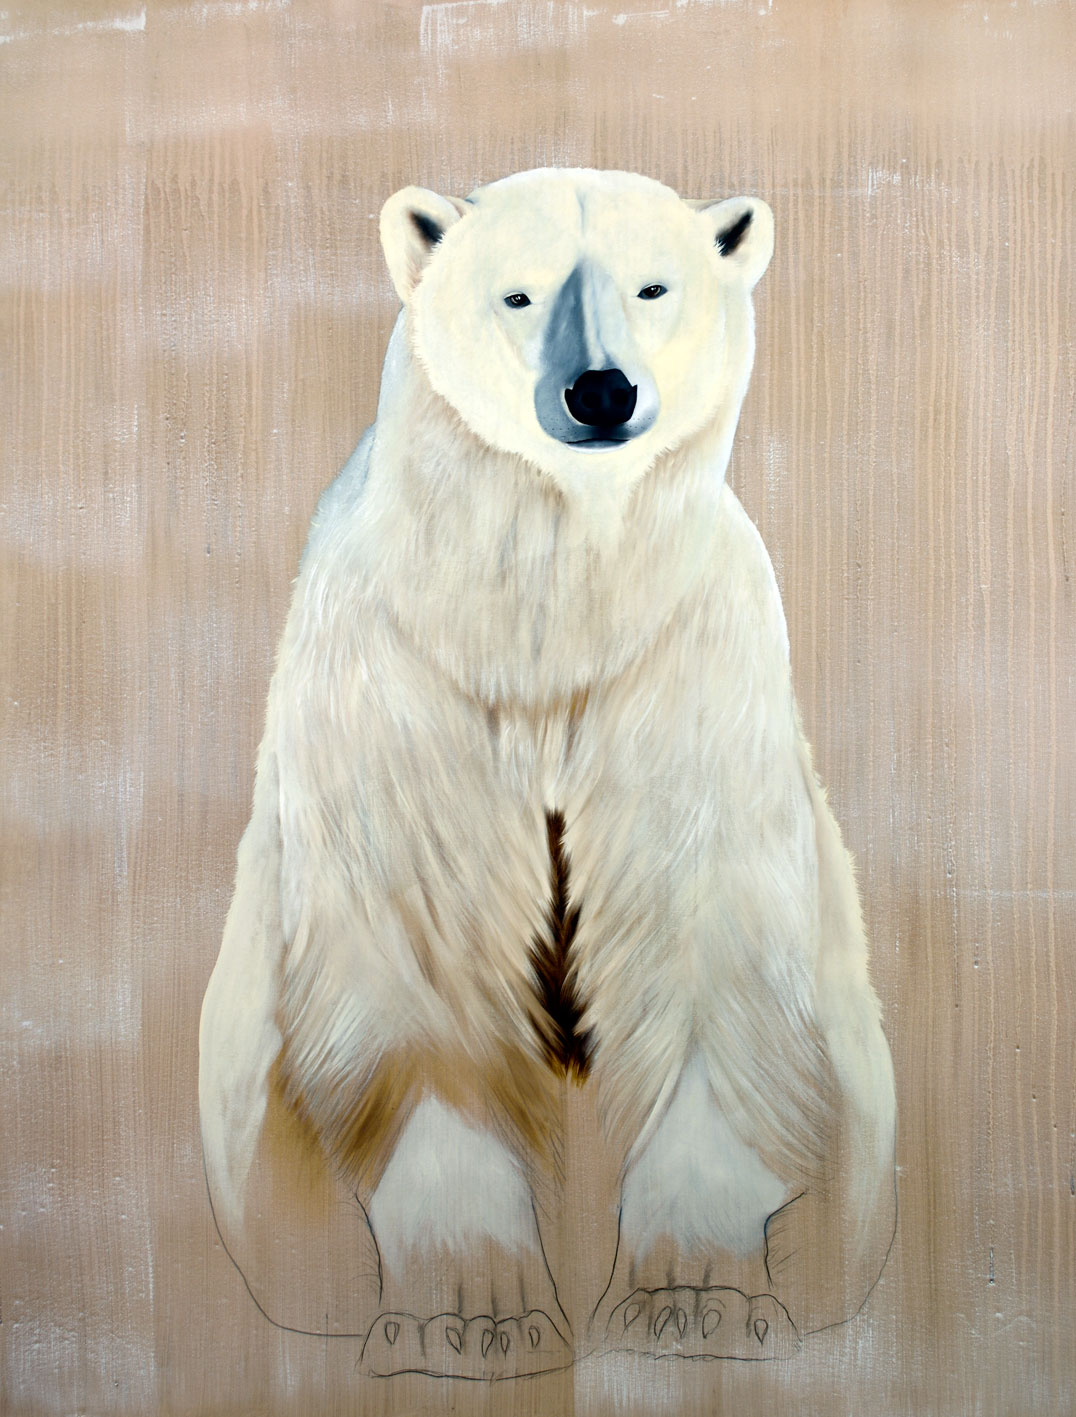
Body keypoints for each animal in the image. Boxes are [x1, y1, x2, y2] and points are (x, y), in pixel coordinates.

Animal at [199, 166, 897, 1380]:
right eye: (518, 293)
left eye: (652, 284)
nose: (601, 390)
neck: (544, 626)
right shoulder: (394, 689)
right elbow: (423, 968)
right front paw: (469, 1314)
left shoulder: (688, 673)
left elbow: (706, 946)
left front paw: (696, 1297)